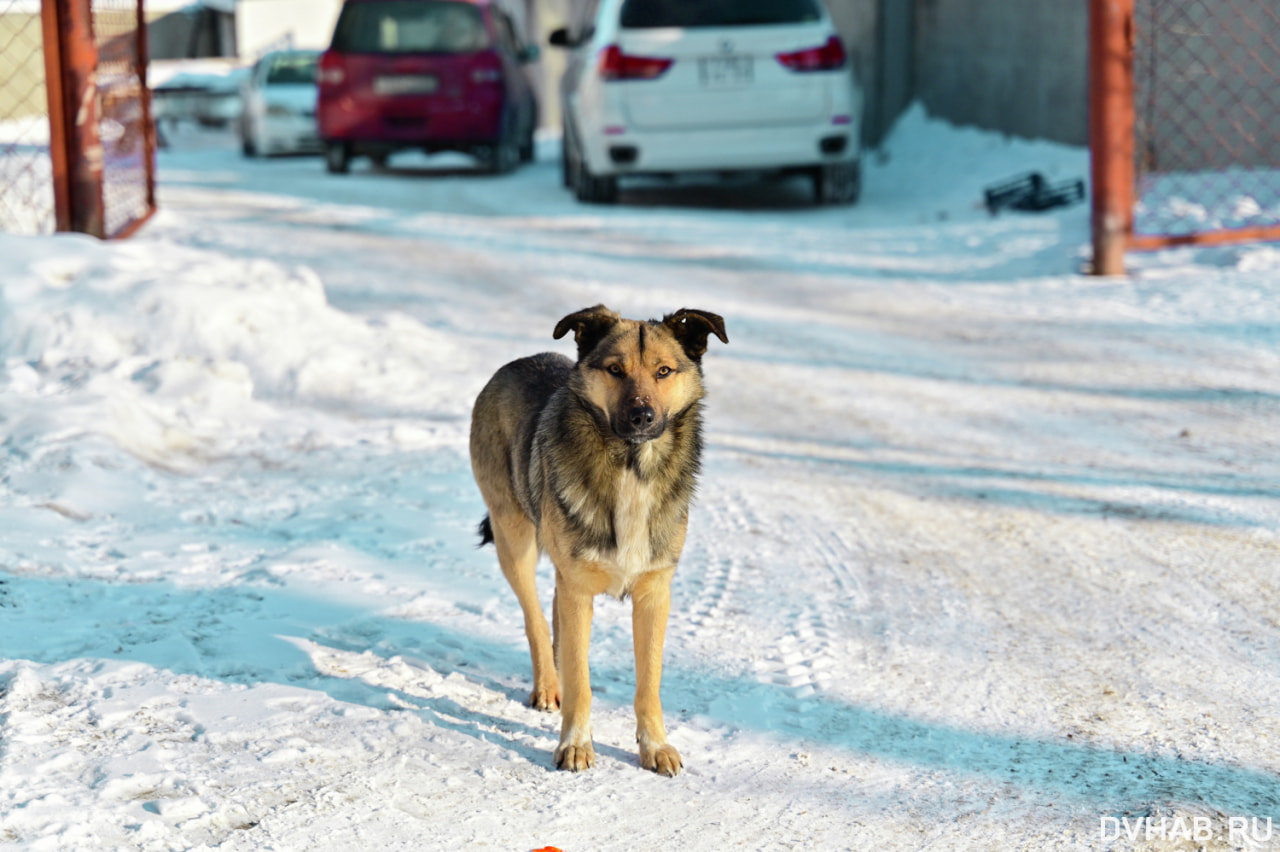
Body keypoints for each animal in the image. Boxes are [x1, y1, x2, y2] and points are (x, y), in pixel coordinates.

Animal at [471, 305, 732, 777]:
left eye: (663, 371)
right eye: (615, 370)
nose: (642, 417)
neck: (631, 466)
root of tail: (517, 363)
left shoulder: (654, 593)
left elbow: (649, 681)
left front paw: (655, 747)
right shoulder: (577, 587)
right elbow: (580, 679)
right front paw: (574, 745)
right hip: (513, 540)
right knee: (536, 618)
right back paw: (547, 685)